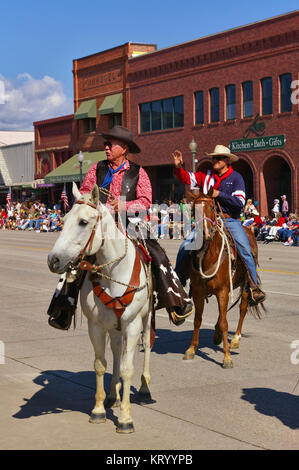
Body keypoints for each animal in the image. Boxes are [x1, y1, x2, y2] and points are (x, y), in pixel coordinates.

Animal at [49, 184, 154, 434]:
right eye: (63, 219)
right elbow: (100, 364)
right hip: (113, 326)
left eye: (83, 222)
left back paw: (144, 389)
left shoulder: (132, 324)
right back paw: (113, 394)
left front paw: (125, 418)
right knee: (116, 349)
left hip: (146, 318)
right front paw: (98, 409)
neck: (112, 273)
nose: (53, 260)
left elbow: (128, 368)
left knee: (146, 346)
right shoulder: (95, 324)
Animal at [184, 189, 266, 370]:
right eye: (193, 210)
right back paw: (216, 335)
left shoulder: (222, 291)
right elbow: (198, 320)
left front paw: (227, 357)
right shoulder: (199, 292)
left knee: (242, 308)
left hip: (245, 284)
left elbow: (224, 322)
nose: (205, 233)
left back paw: (235, 338)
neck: (209, 256)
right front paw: (191, 349)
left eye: (212, 207)